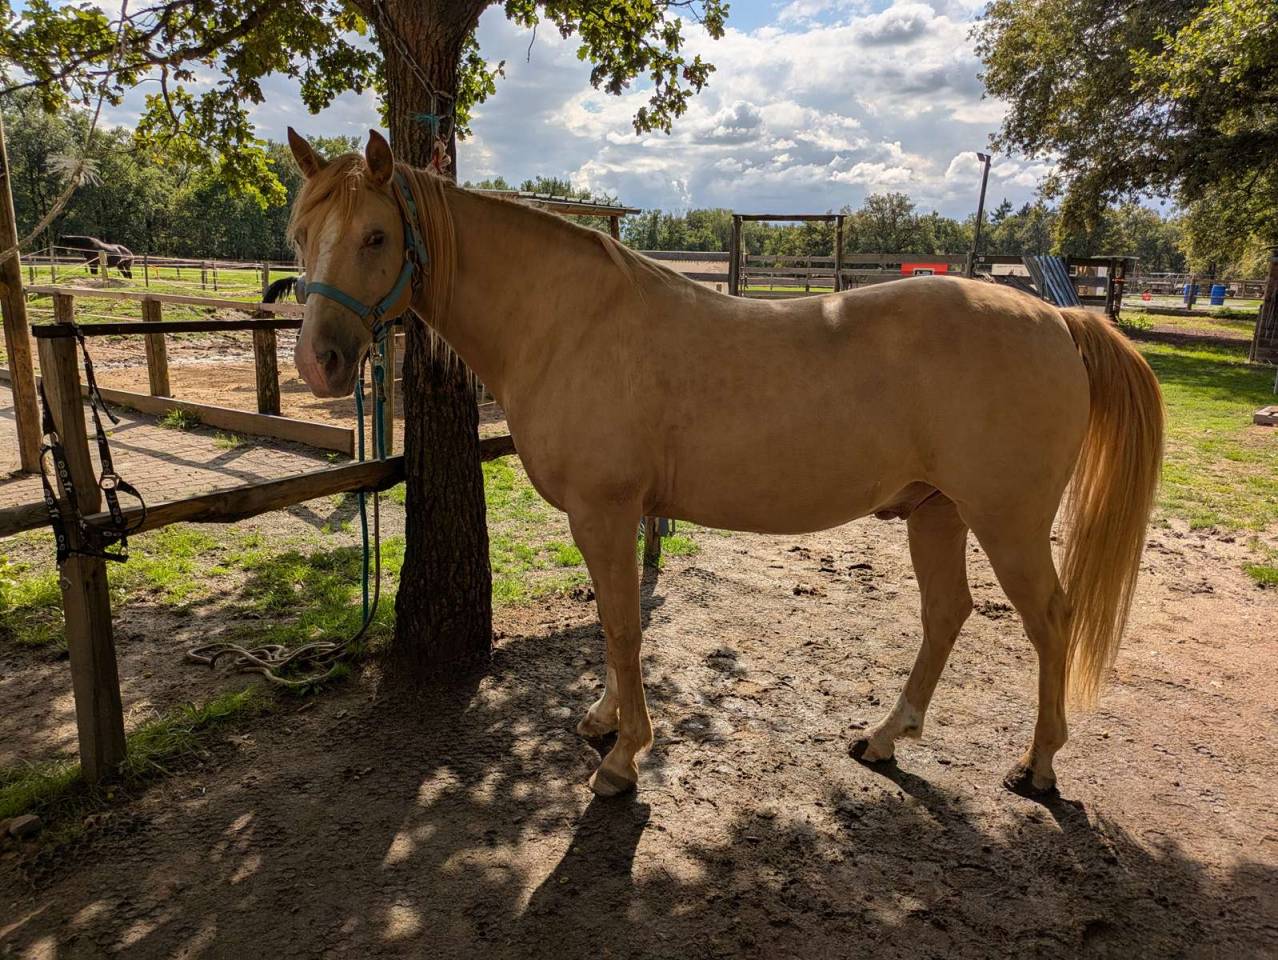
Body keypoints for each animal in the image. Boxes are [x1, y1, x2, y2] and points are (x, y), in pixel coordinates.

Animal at [285, 129, 1165, 800]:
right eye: (300, 234)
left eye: (375, 236)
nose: (320, 363)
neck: (566, 323)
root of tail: (1058, 319)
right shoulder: (604, 519)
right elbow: (614, 624)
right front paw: (604, 721)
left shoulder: (605, 512)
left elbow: (623, 625)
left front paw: (623, 758)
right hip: (936, 511)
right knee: (948, 614)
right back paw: (883, 739)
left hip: (1005, 522)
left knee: (1050, 622)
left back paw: (1037, 767)